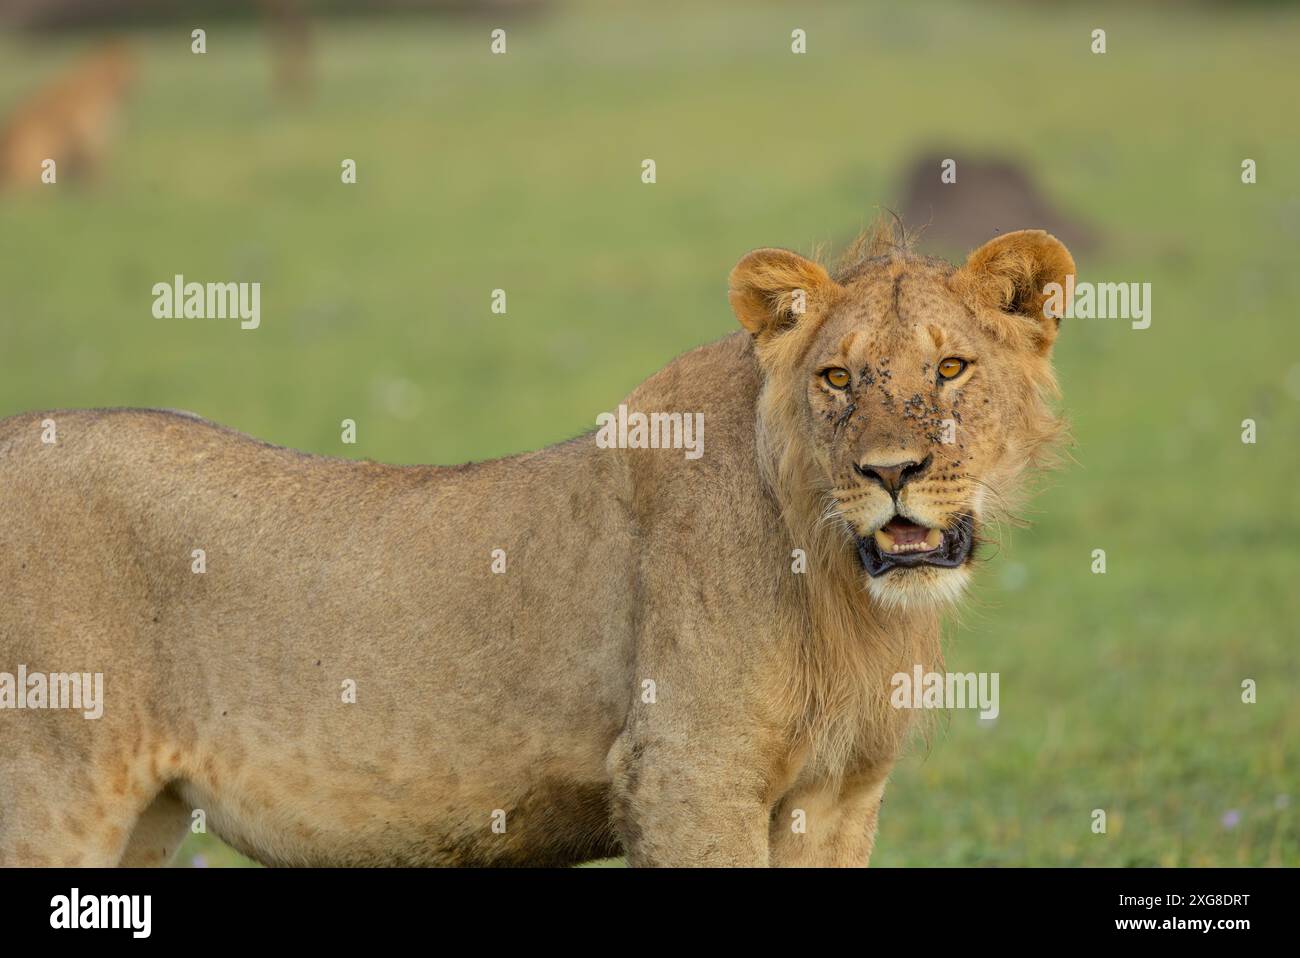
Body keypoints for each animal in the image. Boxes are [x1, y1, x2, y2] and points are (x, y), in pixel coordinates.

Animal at [0, 223, 1073, 867]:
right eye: (838, 379)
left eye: (951, 368)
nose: (891, 471)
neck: (844, 590)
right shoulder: (687, 773)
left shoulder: (839, 794)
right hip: (52, 792)